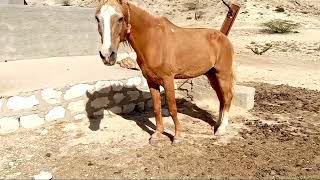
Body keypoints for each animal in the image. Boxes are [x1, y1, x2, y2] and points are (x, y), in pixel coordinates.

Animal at [95, 0, 235, 146]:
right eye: (97, 18)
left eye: (120, 18)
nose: (107, 55)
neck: (153, 41)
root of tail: (223, 37)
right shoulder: (151, 81)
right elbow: (157, 108)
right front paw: (157, 135)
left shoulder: (168, 79)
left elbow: (173, 108)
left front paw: (177, 136)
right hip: (212, 75)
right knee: (221, 98)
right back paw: (217, 125)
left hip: (223, 74)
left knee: (227, 97)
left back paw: (222, 129)